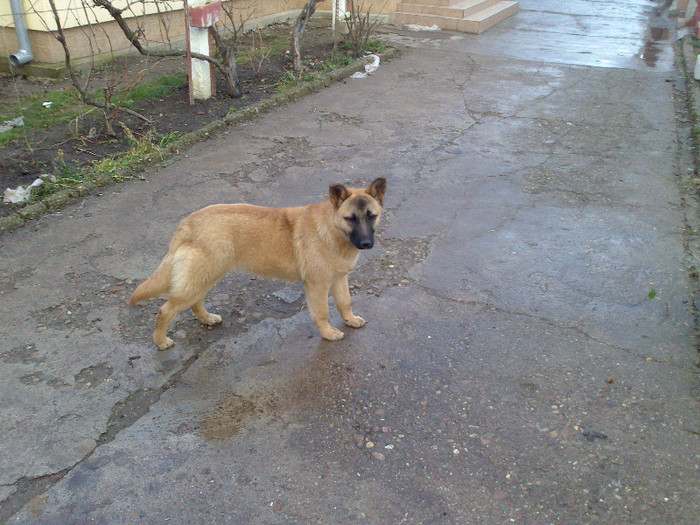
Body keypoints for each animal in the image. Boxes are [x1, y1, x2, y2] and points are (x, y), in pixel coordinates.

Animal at [129, 178, 386, 350]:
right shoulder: (317, 286)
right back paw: (160, 341)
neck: (332, 230)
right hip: (200, 278)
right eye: (350, 218)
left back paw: (207, 319)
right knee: (165, 311)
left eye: (371, 216)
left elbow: (345, 302)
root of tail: (187, 223)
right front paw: (328, 333)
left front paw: (350, 320)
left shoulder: (339, 279)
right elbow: (322, 313)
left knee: (195, 302)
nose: (366, 243)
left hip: (206, 276)